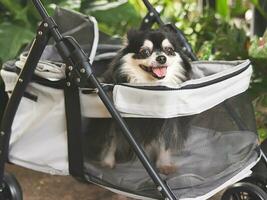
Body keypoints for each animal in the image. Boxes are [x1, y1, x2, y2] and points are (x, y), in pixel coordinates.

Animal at [99, 27, 192, 175]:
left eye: (169, 50)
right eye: (145, 52)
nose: (161, 58)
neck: (152, 88)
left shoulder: (166, 121)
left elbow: (164, 143)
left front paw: (164, 164)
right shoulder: (113, 121)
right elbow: (111, 141)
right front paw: (107, 163)